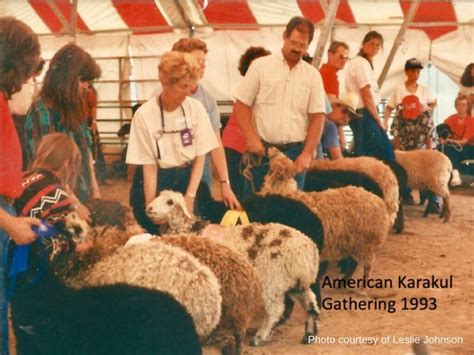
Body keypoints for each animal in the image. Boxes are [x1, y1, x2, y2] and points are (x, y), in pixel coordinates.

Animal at [146, 191, 320, 346]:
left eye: (170, 202)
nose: (149, 208)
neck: (191, 230)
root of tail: (308, 250)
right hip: (295, 283)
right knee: (311, 304)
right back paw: (309, 334)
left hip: (272, 280)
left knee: (276, 310)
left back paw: (259, 337)